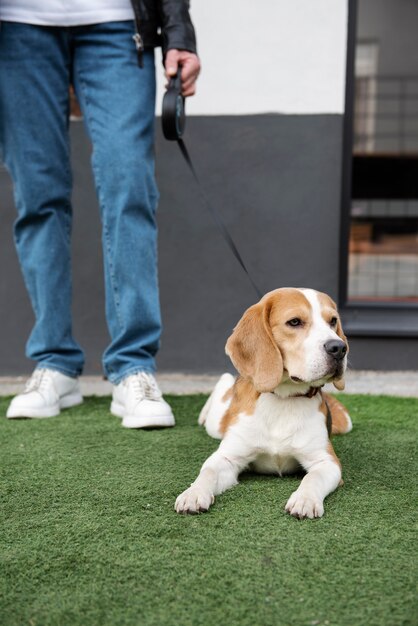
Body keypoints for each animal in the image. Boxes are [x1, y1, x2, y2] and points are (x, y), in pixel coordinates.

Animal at [175, 288, 352, 516]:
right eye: (294, 322)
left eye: (332, 321)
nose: (339, 347)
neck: (283, 399)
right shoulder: (227, 457)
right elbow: (208, 471)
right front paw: (193, 493)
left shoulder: (327, 462)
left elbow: (313, 478)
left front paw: (305, 499)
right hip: (216, 424)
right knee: (223, 384)